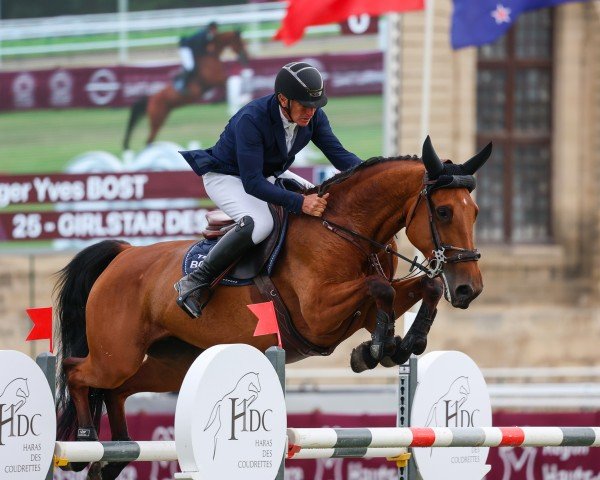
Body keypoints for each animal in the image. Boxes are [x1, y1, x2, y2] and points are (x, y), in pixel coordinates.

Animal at [54, 137, 490, 478]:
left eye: (475, 212)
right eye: (443, 211)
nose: (468, 289)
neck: (345, 229)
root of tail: (123, 254)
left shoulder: (356, 312)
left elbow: (424, 286)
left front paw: (397, 346)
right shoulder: (318, 313)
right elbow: (379, 287)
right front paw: (379, 349)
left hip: (171, 362)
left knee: (118, 389)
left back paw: (114, 455)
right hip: (117, 354)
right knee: (77, 372)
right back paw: (85, 441)